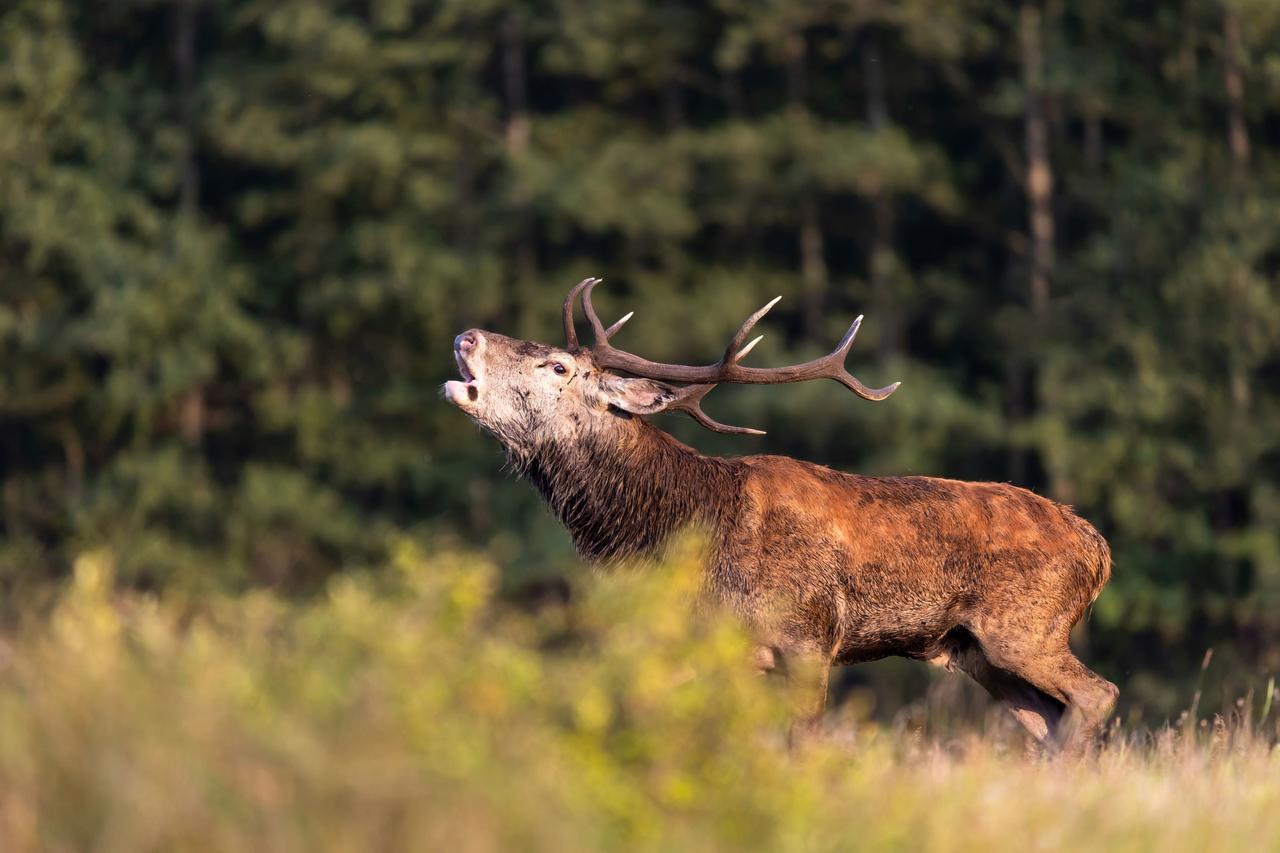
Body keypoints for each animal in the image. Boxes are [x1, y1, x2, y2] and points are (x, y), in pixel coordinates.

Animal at [442, 279, 1121, 753]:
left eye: (557, 366)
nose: (466, 336)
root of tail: (1098, 547)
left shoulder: (808, 640)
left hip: (1025, 629)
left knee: (1098, 694)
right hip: (978, 652)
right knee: (1050, 719)